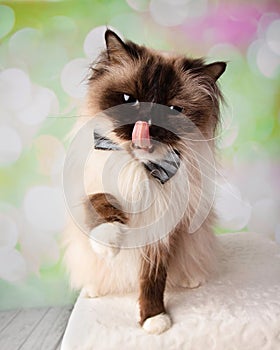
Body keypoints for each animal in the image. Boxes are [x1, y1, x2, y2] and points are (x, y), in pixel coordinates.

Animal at [62, 29, 226, 334]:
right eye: (129, 99)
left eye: (173, 109)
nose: (146, 125)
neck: (138, 168)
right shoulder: (88, 185)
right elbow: (100, 204)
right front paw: (109, 243)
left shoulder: (161, 233)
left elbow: (152, 281)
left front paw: (154, 320)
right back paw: (93, 288)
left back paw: (190, 279)